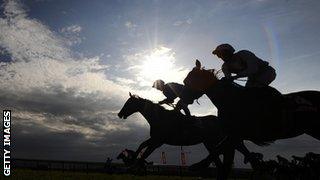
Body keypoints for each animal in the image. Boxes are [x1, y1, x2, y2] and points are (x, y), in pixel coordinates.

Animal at [119, 93, 249, 180]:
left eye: (129, 103)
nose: (119, 114)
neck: (160, 118)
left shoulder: (158, 141)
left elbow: (145, 153)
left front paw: (131, 165)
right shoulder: (156, 140)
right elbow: (142, 145)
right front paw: (131, 159)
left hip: (215, 141)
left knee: (231, 151)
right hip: (210, 143)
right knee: (221, 160)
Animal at [182, 60, 320, 166]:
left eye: (189, 81)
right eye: (185, 80)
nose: (182, 101)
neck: (231, 100)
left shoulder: (237, 134)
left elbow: (218, 149)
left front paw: (198, 165)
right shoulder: (234, 135)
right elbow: (221, 148)